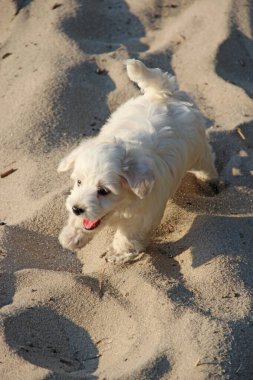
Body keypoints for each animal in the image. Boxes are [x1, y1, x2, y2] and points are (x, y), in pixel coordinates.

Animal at [57, 59, 217, 264]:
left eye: (103, 191)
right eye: (78, 182)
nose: (77, 208)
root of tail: (163, 94)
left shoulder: (142, 216)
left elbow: (129, 235)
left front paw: (118, 254)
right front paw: (72, 235)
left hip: (196, 150)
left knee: (206, 161)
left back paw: (210, 181)